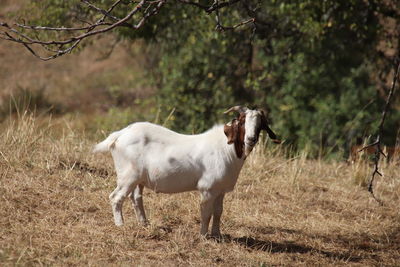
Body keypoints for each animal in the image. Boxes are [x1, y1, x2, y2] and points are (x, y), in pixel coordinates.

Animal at [92, 106, 280, 237]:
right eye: (242, 122)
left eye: (260, 125)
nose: (251, 139)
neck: (226, 149)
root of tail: (120, 134)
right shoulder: (207, 189)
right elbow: (206, 213)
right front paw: (203, 236)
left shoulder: (220, 190)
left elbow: (218, 212)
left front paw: (217, 235)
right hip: (127, 176)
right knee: (116, 197)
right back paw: (120, 225)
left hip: (138, 179)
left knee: (136, 197)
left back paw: (144, 223)